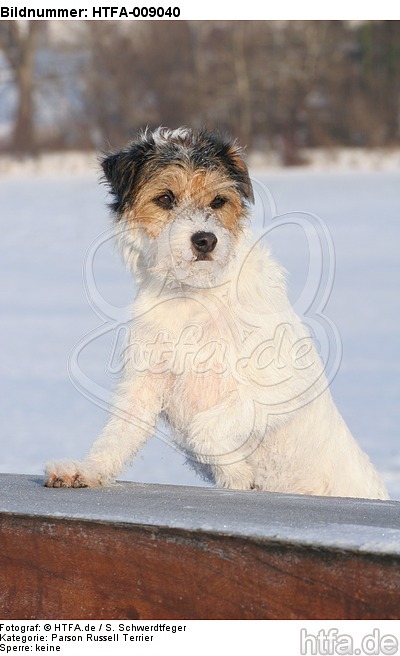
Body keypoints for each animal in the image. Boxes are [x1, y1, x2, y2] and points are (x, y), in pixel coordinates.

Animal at [45, 127, 390, 498]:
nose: (205, 240)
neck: (194, 296)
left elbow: (205, 428)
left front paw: (236, 473)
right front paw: (86, 470)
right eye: (165, 198)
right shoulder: (145, 384)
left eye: (218, 201)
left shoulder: (283, 381)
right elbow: (117, 436)